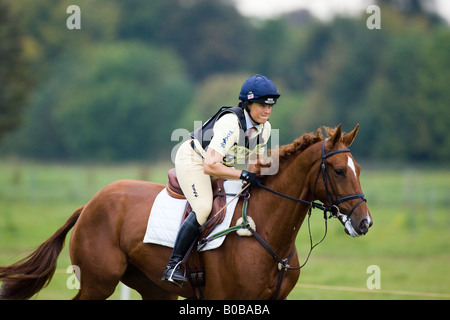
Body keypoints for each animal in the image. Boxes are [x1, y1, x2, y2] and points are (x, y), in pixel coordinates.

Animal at [0, 124, 372, 298]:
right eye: (340, 171)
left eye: (359, 169)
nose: (364, 222)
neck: (264, 229)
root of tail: (90, 203)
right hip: (97, 283)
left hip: (154, 290)